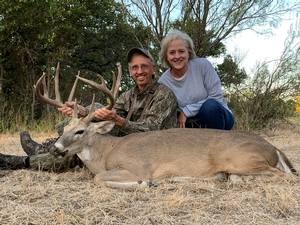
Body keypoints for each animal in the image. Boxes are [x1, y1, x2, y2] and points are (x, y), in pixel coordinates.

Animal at [34, 62, 298, 187]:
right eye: (63, 130)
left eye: (80, 131)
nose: (54, 148)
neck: (107, 152)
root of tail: (273, 147)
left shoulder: (136, 166)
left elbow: (99, 179)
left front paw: (144, 183)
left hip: (240, 157)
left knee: (285, 176)